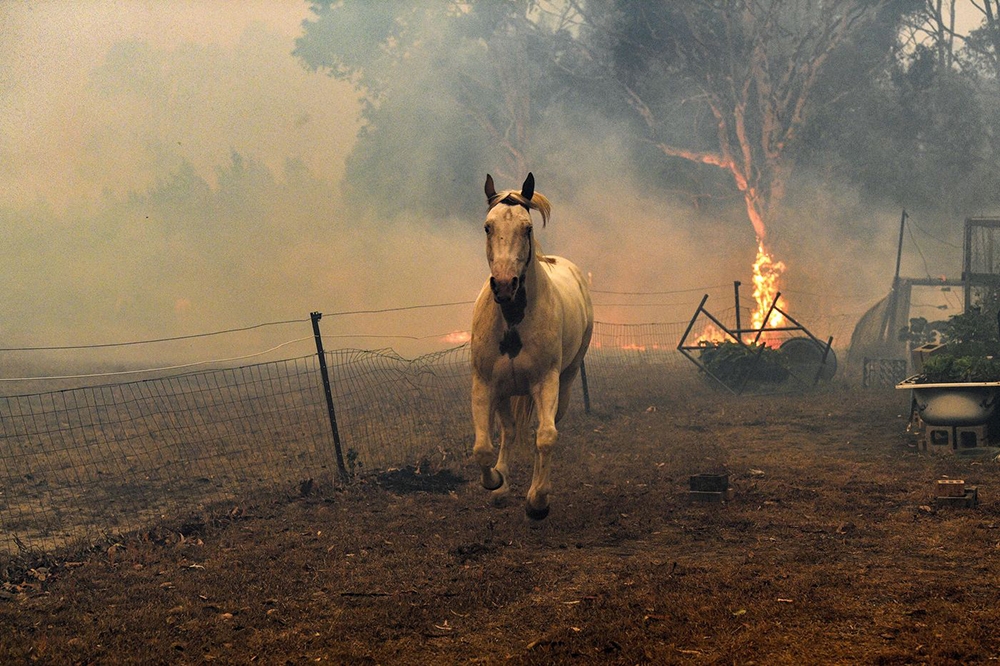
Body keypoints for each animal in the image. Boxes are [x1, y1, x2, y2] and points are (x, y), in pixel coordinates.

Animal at [470, 172, 592, 520]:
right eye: (488, 226)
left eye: (527, 228)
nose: (505, 285)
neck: (513, 320)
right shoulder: (486, 384)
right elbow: (483, 448)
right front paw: (496, 482)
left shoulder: (545, 382)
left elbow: (546, 438)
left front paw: (538, 501)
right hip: (505, 390)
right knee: (509, 432)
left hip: (565, 381)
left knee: (542, 431)